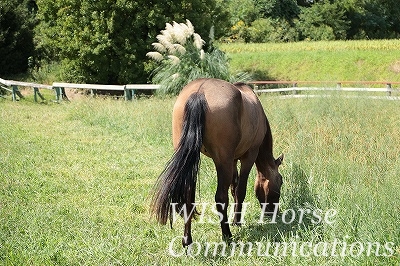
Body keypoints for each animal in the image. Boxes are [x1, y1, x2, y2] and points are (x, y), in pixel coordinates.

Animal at [151, 78, 284, 246]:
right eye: (281, 181)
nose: (272, 213)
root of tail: (199, 92)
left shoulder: (233, 160)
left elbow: (234, 188)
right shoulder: (248, 156)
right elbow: (240, 190)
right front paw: (237, 221)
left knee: (188, 195)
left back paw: (187, 240)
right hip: (222, 160)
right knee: (220, 197)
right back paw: (227, 235)